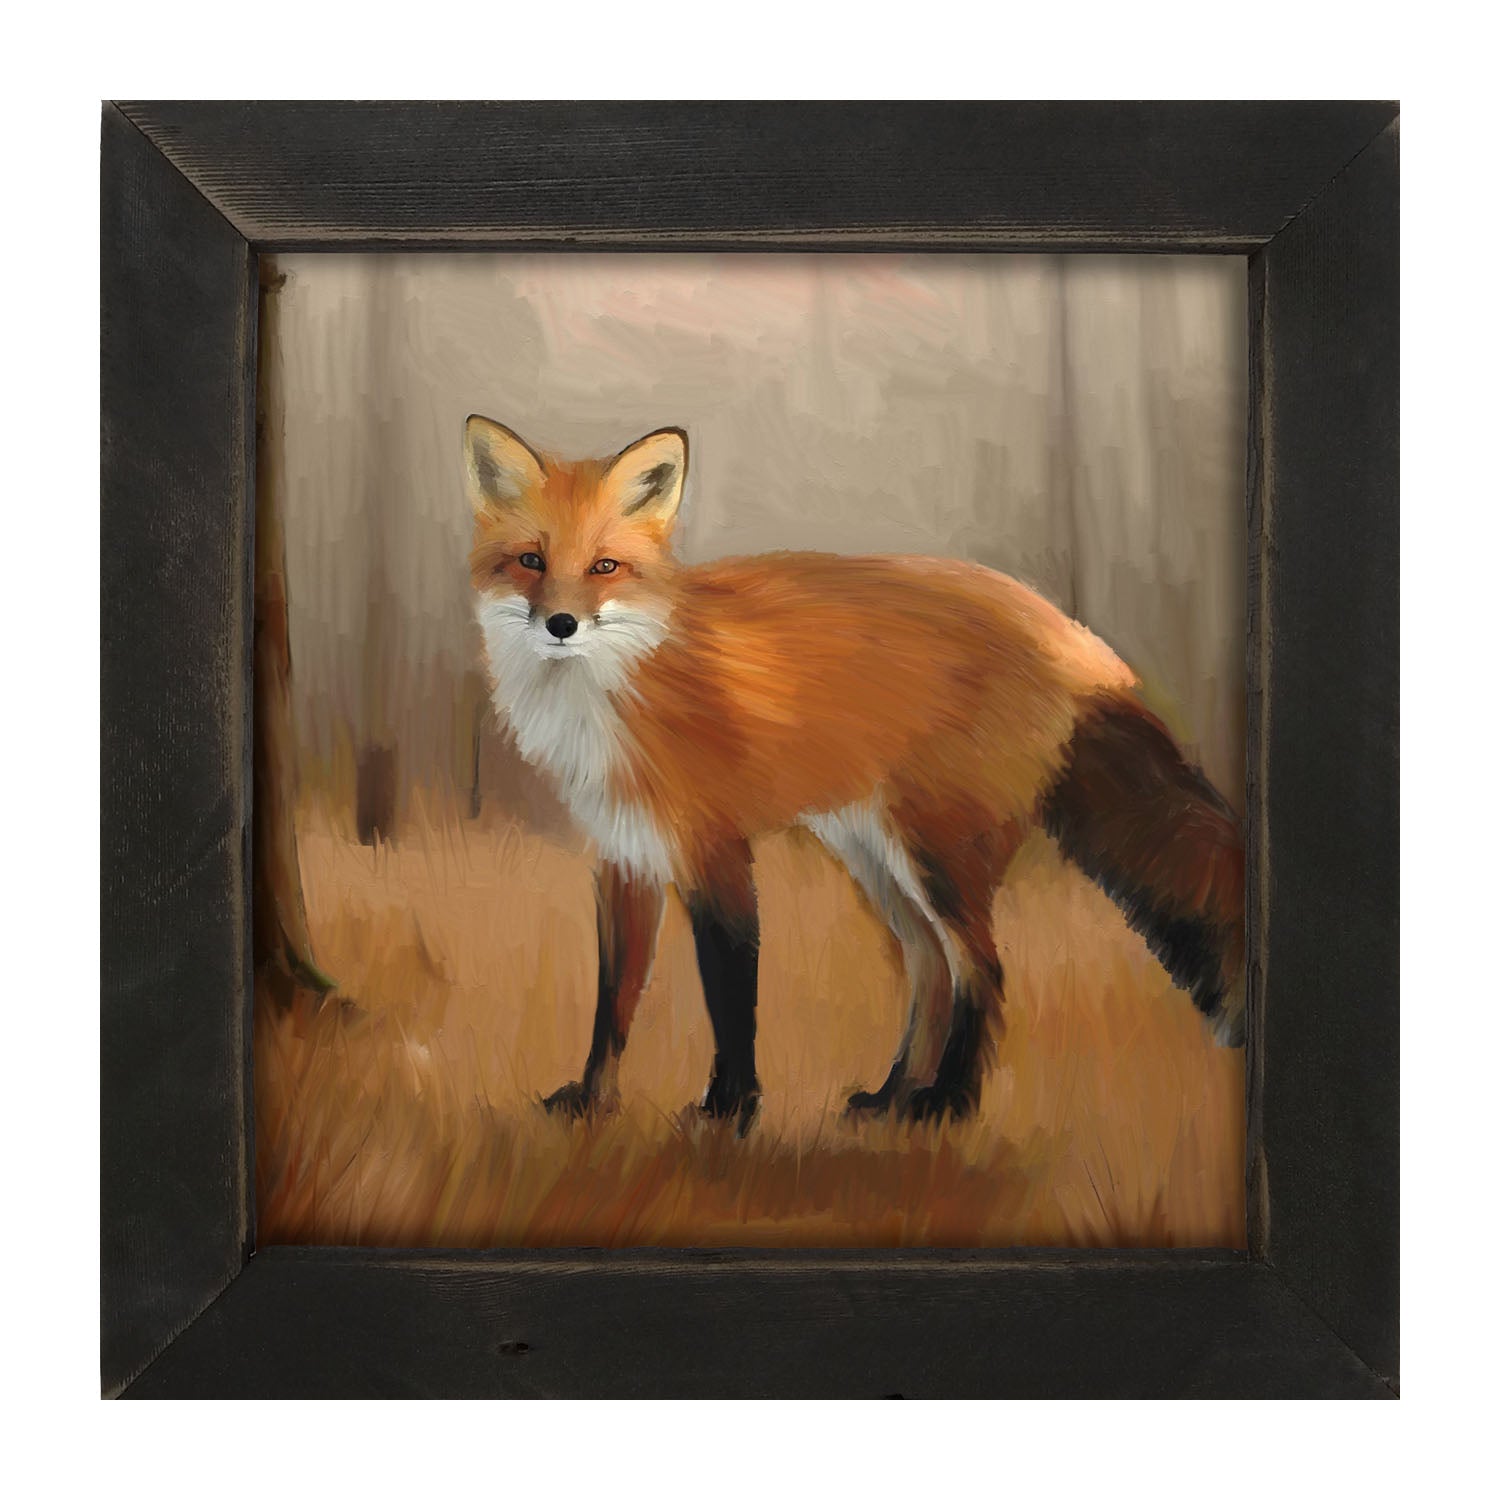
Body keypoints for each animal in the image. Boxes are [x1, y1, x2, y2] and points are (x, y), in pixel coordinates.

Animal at [464, 416, 1245, 1131]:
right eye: (530, 560)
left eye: (604, 567)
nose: (561, 624)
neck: (617, 687)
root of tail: (1073, 636)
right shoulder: (625, 857)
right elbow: (614, 1002)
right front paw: (591, 1102)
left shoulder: (716, 852)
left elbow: (730, 993)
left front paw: (730, 1110)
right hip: (876, 856)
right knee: (931, 969)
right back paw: (891, 1096)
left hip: (937, 853)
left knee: (983, 970)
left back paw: (948, 1104)